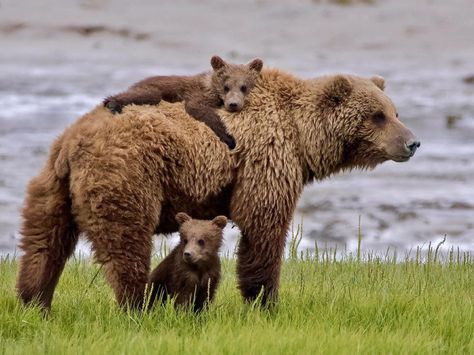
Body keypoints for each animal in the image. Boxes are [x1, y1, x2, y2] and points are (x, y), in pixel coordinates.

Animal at [16, 69, 420, 312]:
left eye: (395, 111)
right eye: (378, 116)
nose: (412, 142)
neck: (302, 137)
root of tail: (72, 143)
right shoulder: (265, 160)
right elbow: (263, 229)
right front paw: (265, 302)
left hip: (52, 187)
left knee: (44, 244)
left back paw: (34, 302)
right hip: (127, 175)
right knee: (125, 243)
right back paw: (137, 304)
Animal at [103, 56, 262, 150]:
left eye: (244, 87)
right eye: (226, 86)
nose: (233, 104)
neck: (211, 88)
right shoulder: (198, 94)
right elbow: (199, 108)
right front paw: (230, 139)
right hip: (153, 88)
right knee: (149, 95)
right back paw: (112, 103)